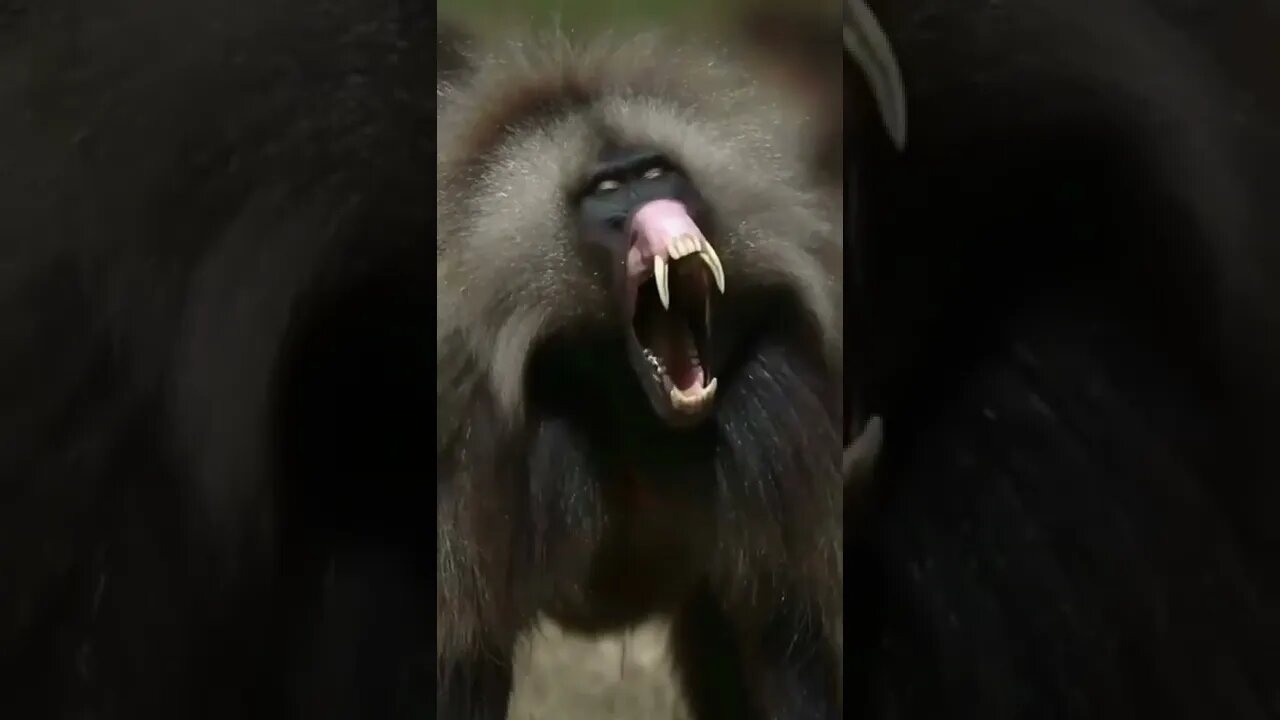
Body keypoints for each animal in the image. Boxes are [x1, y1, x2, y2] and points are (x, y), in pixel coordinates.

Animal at [434, 13, 904, 717]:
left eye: (657, 173)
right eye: (608, 190)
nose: (656, 210)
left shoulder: (778, 409)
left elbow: (795, 643)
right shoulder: (474, 443)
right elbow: (464, 660)